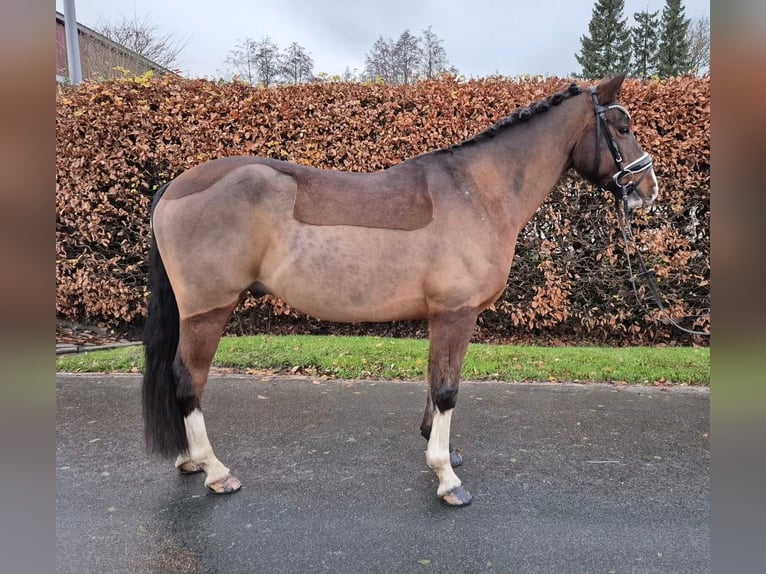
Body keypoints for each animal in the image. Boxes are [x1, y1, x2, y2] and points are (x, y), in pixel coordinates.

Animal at [144, 73, 660, 508]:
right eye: (622, 126)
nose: (649, 189)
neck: (477, 192)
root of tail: (174, 187)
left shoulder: (440, 316)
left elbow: (435, 383)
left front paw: (441, 449)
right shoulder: (456, 314)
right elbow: (448, 388)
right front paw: (447, 478)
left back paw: (189, 460)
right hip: (208, 311)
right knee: (188, 380)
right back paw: (215, 471)